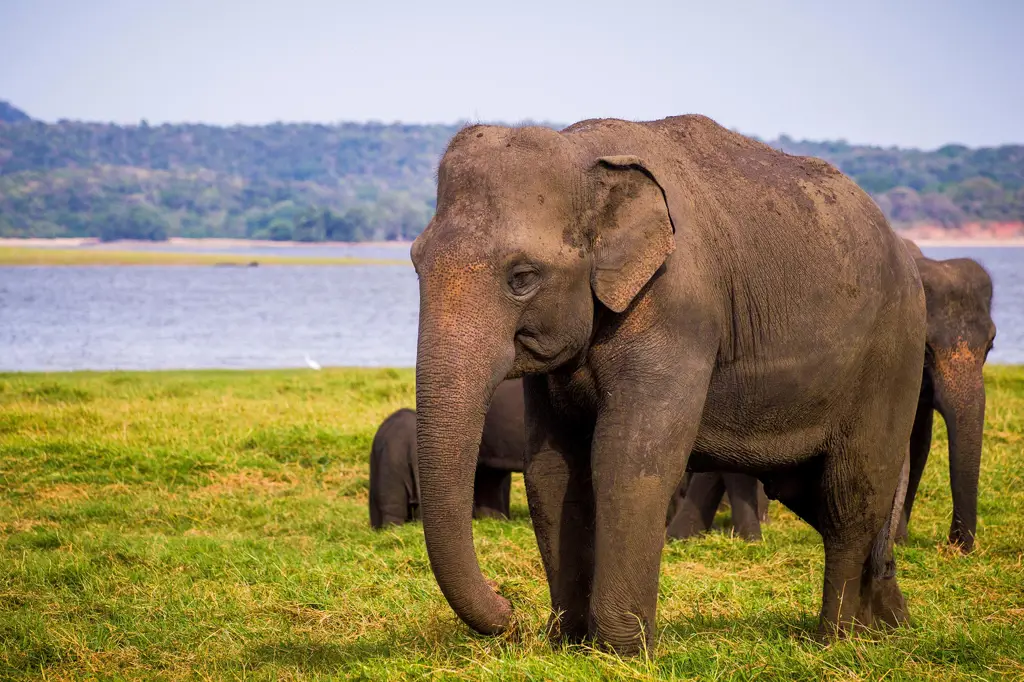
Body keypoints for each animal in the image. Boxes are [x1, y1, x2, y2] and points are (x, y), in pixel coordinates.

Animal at [409, 114, 929, 651]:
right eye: (416, 263)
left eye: (522, 277)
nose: (510, 611)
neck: (583, 151)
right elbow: (551, 467)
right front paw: (567, 645)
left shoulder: (678, 306)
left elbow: (629, 459)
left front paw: (622, 652)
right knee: (812, 494)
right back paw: (888, 624)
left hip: (892, 357)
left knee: (852, 493)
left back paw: (836, 639)